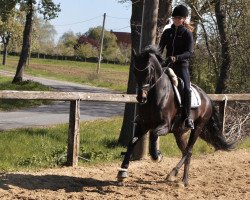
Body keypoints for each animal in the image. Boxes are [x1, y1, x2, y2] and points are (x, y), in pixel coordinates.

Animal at [117, 45, 234, 186]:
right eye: (135, 71)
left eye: (148, 72)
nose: (141, 98)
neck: (155, 96)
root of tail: (207, 98)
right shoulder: (143, 125)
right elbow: (132, 142)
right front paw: (122, 172)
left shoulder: (165, 126)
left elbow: (154, 135)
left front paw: (157, 156)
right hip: (180, 133)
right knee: (186, 152)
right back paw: (179, 177)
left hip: (198, 127)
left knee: (189, 150)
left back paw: (178, 177)